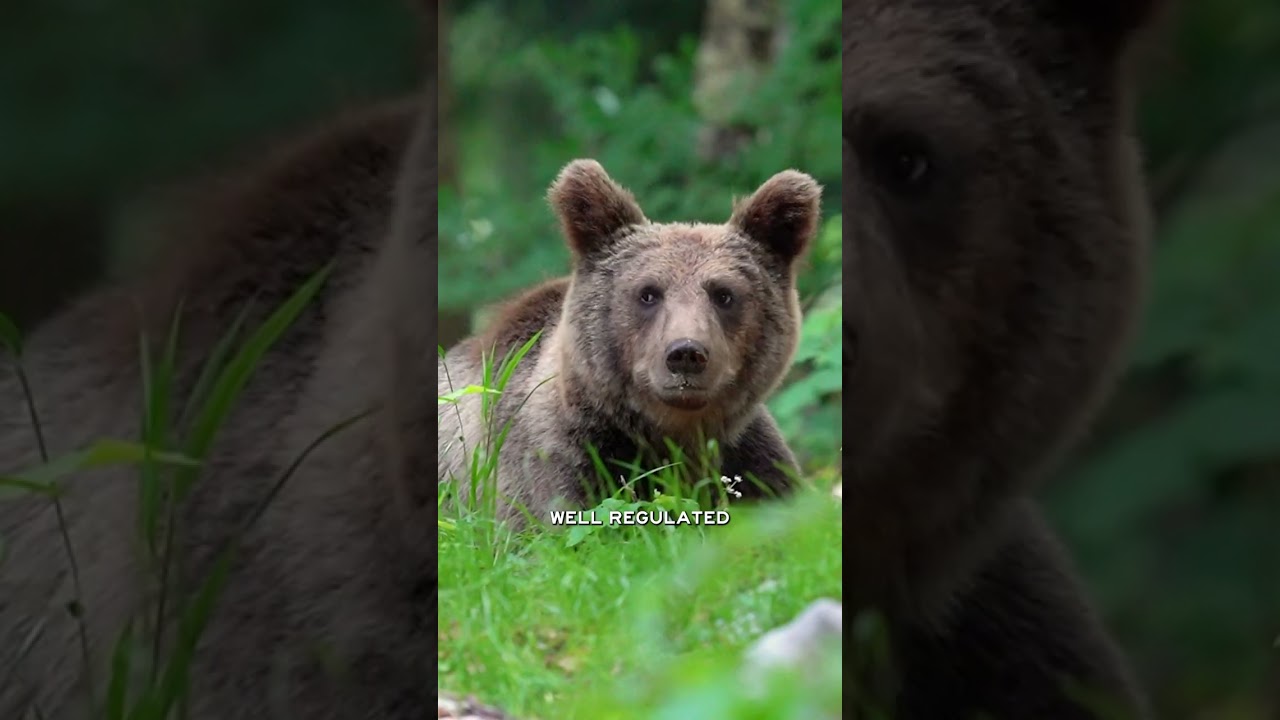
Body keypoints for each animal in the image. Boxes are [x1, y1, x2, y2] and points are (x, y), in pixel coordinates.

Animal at [437, 160, 820, 522]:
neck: (672, 433)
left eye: (724, 294)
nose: (686, 354)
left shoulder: (748, 459)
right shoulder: (564, 457)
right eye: (648, 293)